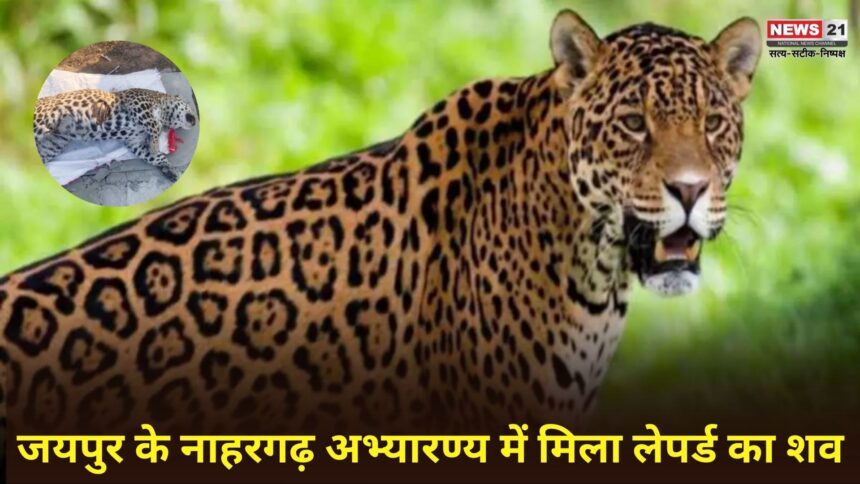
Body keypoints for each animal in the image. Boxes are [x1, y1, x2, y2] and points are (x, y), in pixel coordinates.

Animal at [33, 87, 198, 183]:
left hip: (51, 146)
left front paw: (171, 170)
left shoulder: (135, 143)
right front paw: (155, 145)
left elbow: (157, 157)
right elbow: (154, 126)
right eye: (190, 105)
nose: (196, 120)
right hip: (42, 120)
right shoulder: (139, 105)